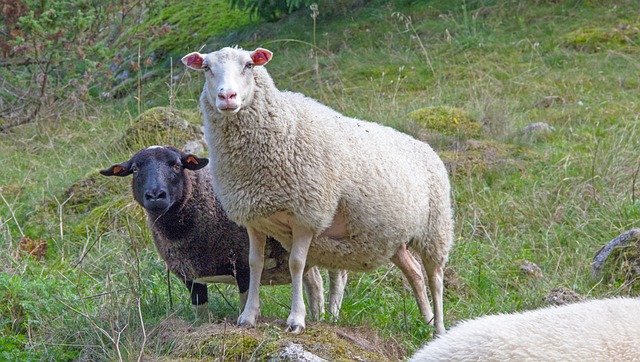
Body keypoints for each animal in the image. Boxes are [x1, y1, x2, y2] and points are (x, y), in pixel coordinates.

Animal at [179, 46, 456, 334]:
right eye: (206, 68)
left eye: (248, 66)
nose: (227, 96)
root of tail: (426, 147)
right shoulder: (254, 218)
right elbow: (254, 263)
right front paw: (248, 316)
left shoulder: (306, 214)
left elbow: (297, 264)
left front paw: (296, 319)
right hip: (393, 239)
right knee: (414, 273)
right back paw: (427, 319)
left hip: (435, 230)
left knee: (435, 277)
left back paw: (439, 328)